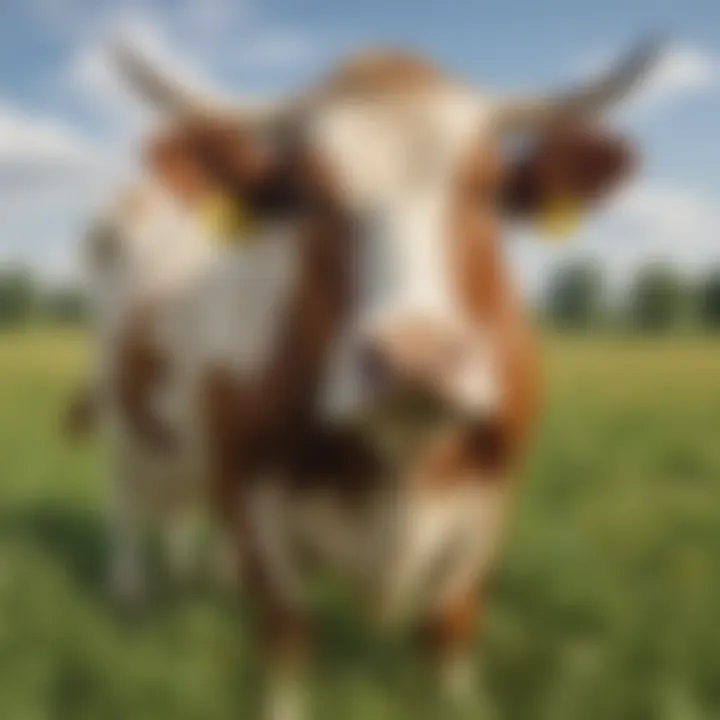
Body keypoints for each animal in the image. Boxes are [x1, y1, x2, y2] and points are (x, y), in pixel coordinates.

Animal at [81, 40, 660, 720]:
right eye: (307, 194)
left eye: (489, 188)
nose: (416, 359)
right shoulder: (247, 490)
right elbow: (284, 629)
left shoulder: (491, 498)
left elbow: (450, 624)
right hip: (124, 413)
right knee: (125, 499)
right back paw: (130, 587)